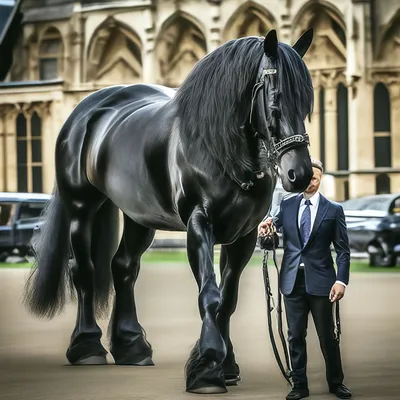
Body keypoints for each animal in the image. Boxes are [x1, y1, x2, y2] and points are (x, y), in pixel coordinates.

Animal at [22, 28, 316, 394]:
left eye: (306, 101)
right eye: (275, 98)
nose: (299, 174)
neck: (218, 148)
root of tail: (87, 110)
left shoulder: (243, 235)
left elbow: (228, 299)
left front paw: (226, 366)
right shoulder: (199, 224)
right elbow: (210, 294)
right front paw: (206, 367)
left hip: (139, 216)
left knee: (124, 267)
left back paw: (132, 346)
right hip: (81, 207)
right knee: (84, 270)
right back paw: (87, 346)